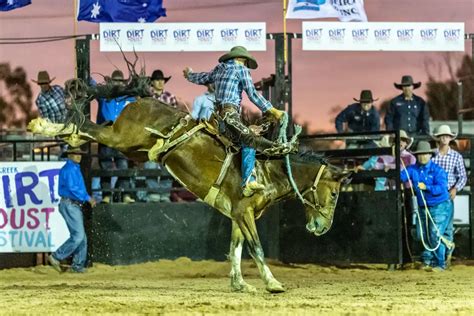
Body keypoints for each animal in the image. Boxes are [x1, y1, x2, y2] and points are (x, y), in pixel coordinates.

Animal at [27, 97, 350, 292]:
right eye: (335, 194)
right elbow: (256, 247)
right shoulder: (244, 212)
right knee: (85, 126)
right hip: (122, 138)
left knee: (83, 131)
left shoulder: (237, 214)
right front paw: (272, 283)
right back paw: (42, 124)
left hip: (133, 148)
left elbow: (236, 248)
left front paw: (239, 284)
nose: (322, 227)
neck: (268, 170)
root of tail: (136, 100)